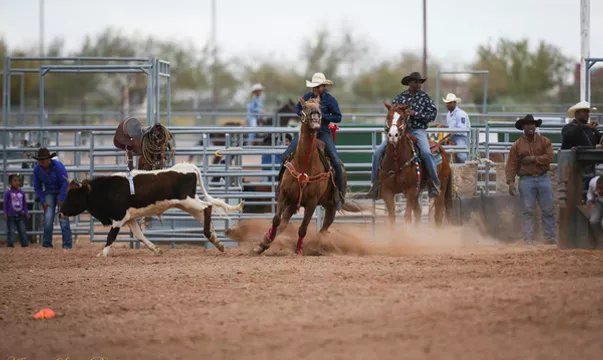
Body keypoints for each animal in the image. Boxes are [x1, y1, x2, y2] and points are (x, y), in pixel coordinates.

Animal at [252, 97, 360, 255]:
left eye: (320, 110)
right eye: (304, 109)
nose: (316, 120)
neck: (304, 163)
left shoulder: (311, 203)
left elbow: (303, 228)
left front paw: (299, 250)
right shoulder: (284, 195)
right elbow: (276, 220)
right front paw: (264, 243)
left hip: (331, 206)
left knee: (323, 229)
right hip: (292, 203)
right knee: (283, 223)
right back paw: (265, 242)